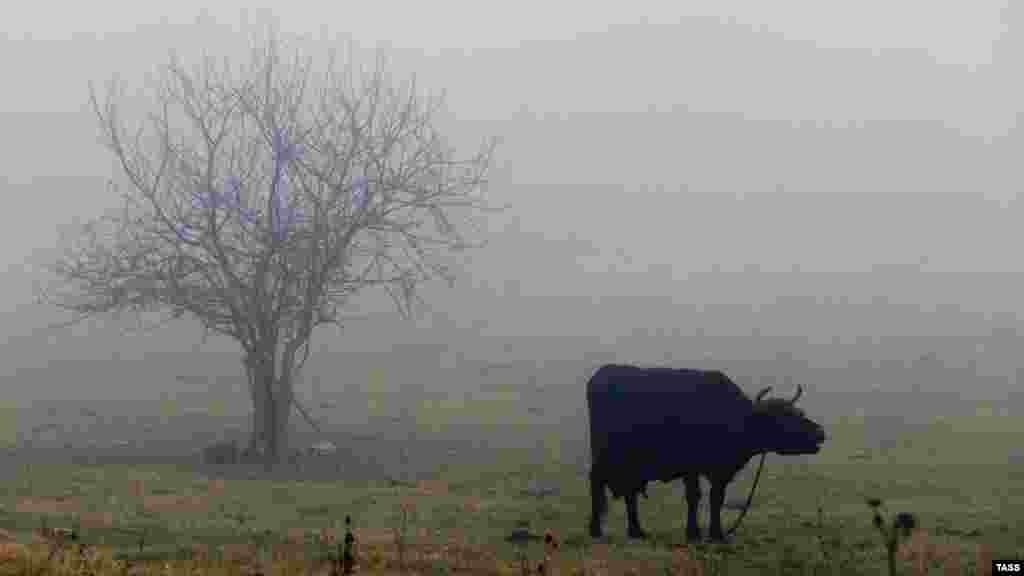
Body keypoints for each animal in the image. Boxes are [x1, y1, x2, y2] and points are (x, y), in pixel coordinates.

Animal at [585, 362, 823, 537]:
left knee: (629, 493)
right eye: (787, 416)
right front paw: (694, 533)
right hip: (605, 456)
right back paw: (596, 530)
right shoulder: (691, 467)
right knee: (597, 482)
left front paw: (716, 533)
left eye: (799, 412)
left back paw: (636, 531)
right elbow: (694, 496)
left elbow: (716, 498)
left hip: (630, 464)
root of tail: (600, 374)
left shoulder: (719, 472)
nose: (820, 432)